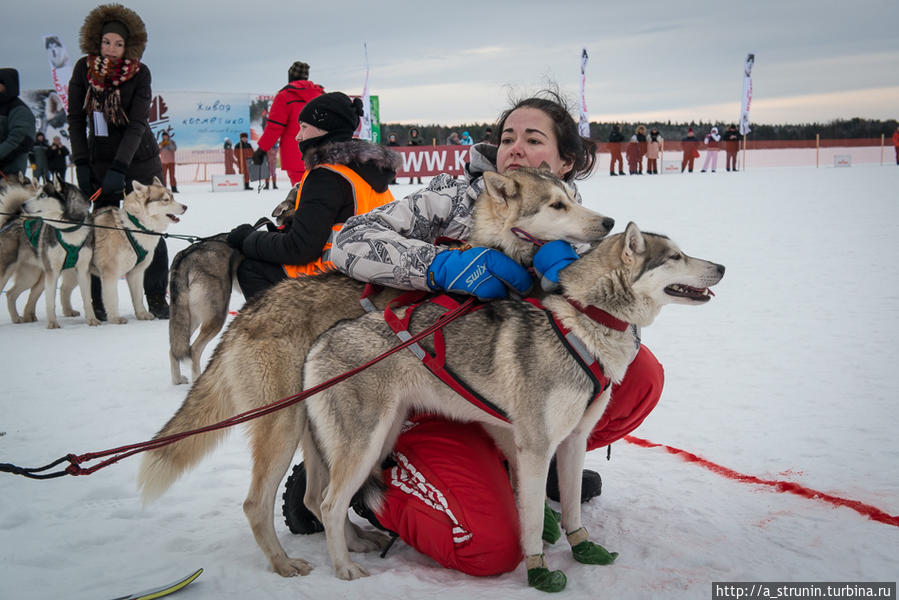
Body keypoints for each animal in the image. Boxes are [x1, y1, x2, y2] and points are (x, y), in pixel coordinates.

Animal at [93, 178, 186, 326]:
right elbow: (112, 298)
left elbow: (137, 296)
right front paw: (115, 318)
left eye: (173, 197)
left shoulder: (136, 273)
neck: (133, 227)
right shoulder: (110, 274)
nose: (185, 207)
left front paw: (142, 314)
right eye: (166, 199)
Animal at [172, 197, 298, 384]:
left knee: (174, 348)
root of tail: (188, 253)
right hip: (216, 315)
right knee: (194, 349)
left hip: (191, 316)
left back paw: (177, 380)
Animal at [302, 223, 724, 588]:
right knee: (329, 504)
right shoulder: (536, 448)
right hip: (364, 446)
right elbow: (533, 521)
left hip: (382, 438)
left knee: (327, 501)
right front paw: (539, 571)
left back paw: (356, 544)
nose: (721, 267)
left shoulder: (573, 441)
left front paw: (583, 547)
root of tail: (321, 342)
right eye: (675, 256)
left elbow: (571, 506)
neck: (587, 321)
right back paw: (344, 567)